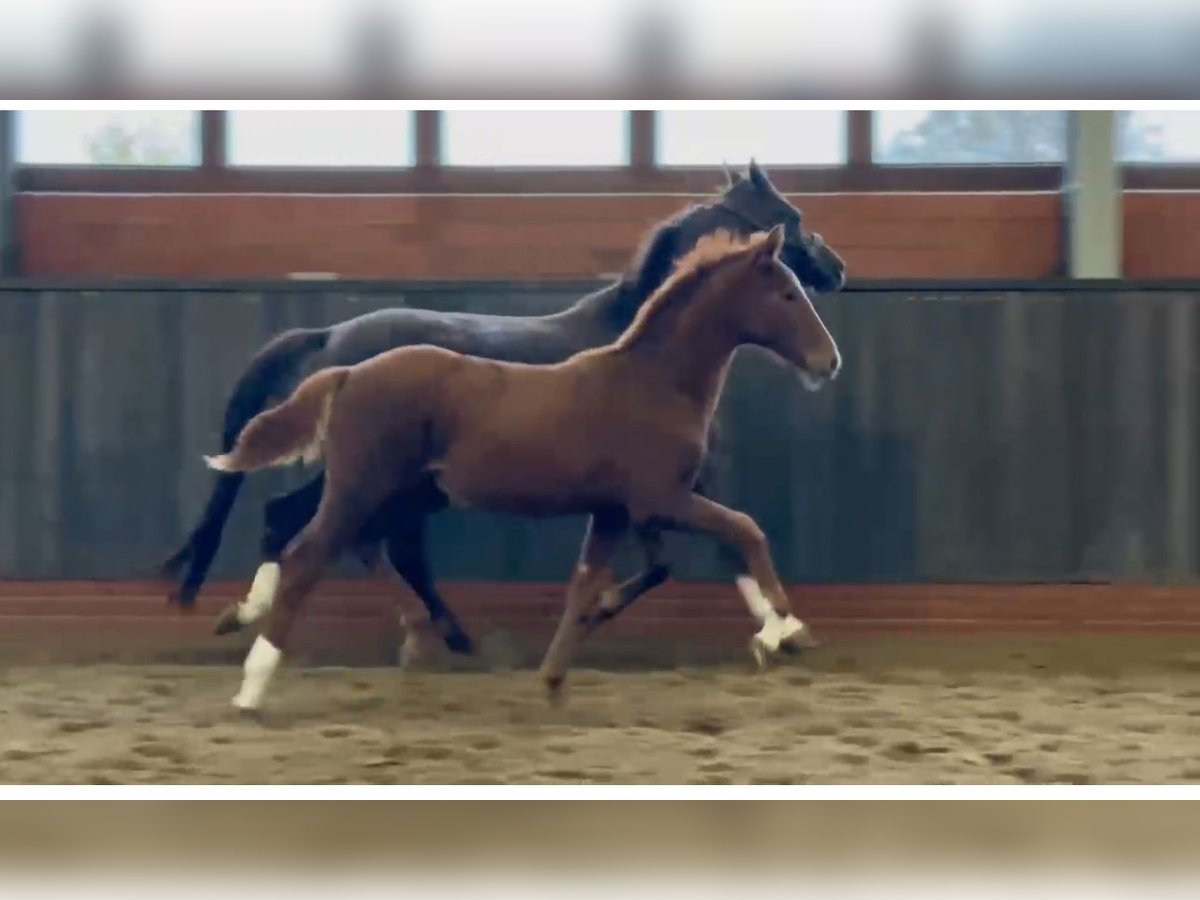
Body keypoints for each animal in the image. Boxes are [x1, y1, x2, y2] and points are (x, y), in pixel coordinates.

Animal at [164, 162, 849, 667]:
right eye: (792, 217)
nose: (838, 268)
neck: (638, 344)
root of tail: (331, 337)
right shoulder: (669, 480)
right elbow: (730, 539)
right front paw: (786, 628)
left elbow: (714, 544)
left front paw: (781, 628)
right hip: (371, 472)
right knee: (293, 520)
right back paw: (255, 614)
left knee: (378, 542)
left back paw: (440, 635)